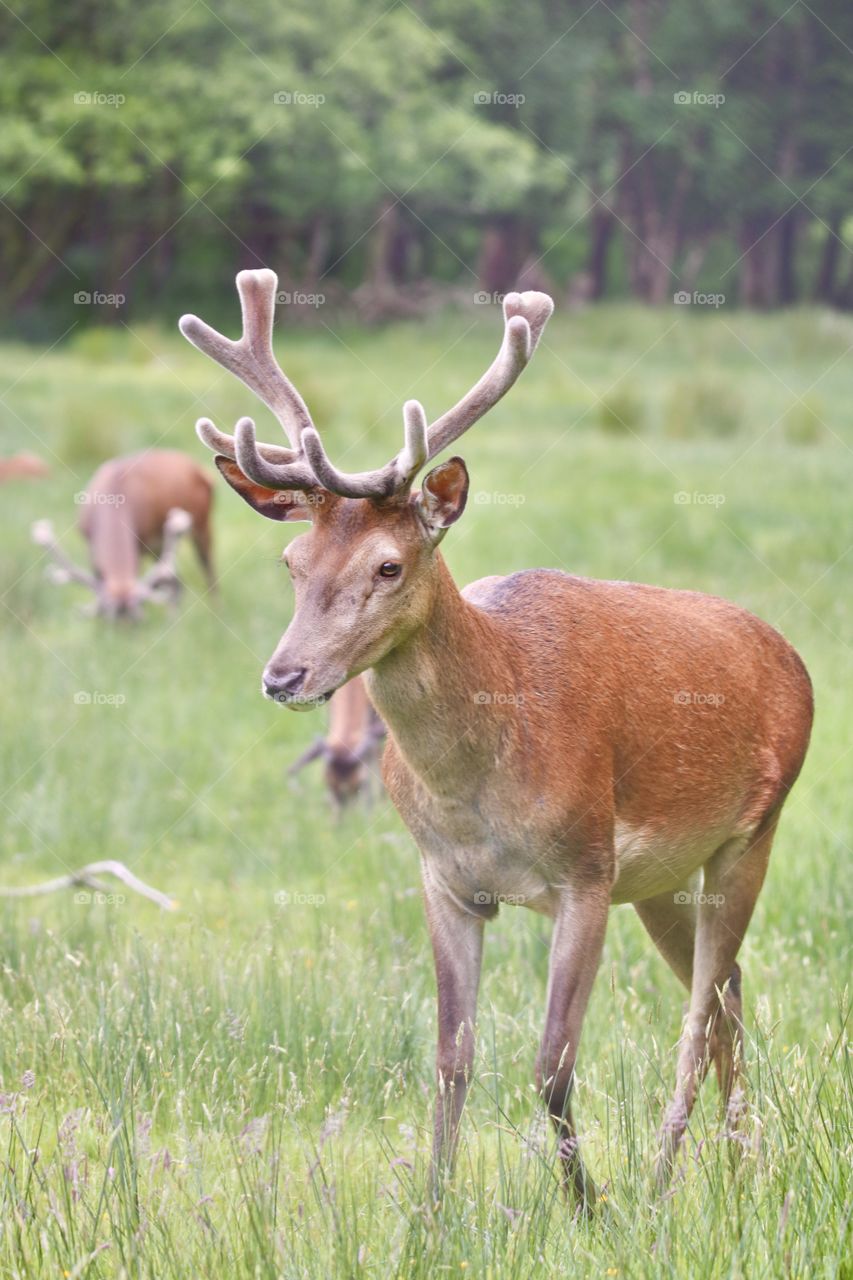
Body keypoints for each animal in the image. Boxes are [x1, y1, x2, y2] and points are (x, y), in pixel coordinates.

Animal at [33, 449, 215, 618]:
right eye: (110, 619)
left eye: (136, 620)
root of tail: (196, 467)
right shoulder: (90, 543)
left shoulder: (140, 543)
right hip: (159, 546)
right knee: (175, 581)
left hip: (202, 523)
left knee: (206, 569)